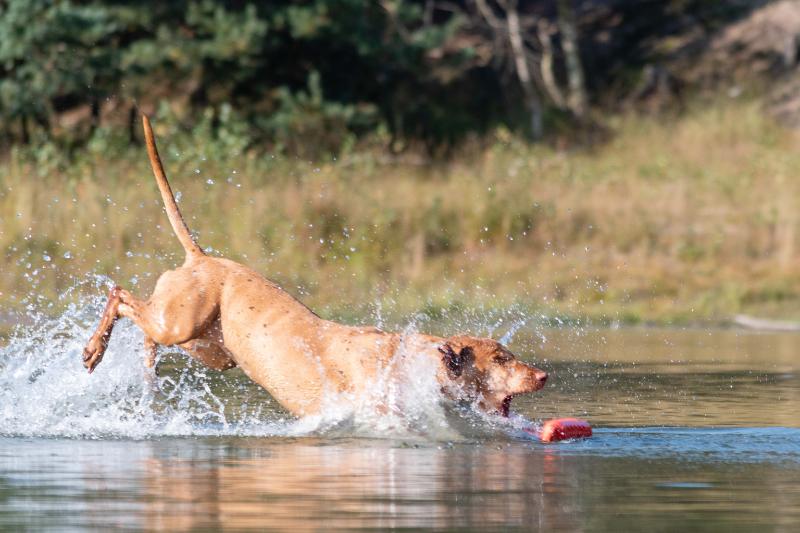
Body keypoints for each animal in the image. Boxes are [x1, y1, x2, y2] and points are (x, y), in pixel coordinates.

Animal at [83, 115, 552, 416]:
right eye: (502, 359)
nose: (544, 375)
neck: (417, 360)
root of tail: (201, 257)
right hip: (180, 322)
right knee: (120, 295)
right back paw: (94, 349)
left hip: (210, 347)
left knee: (146, 327)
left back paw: (145, 369)